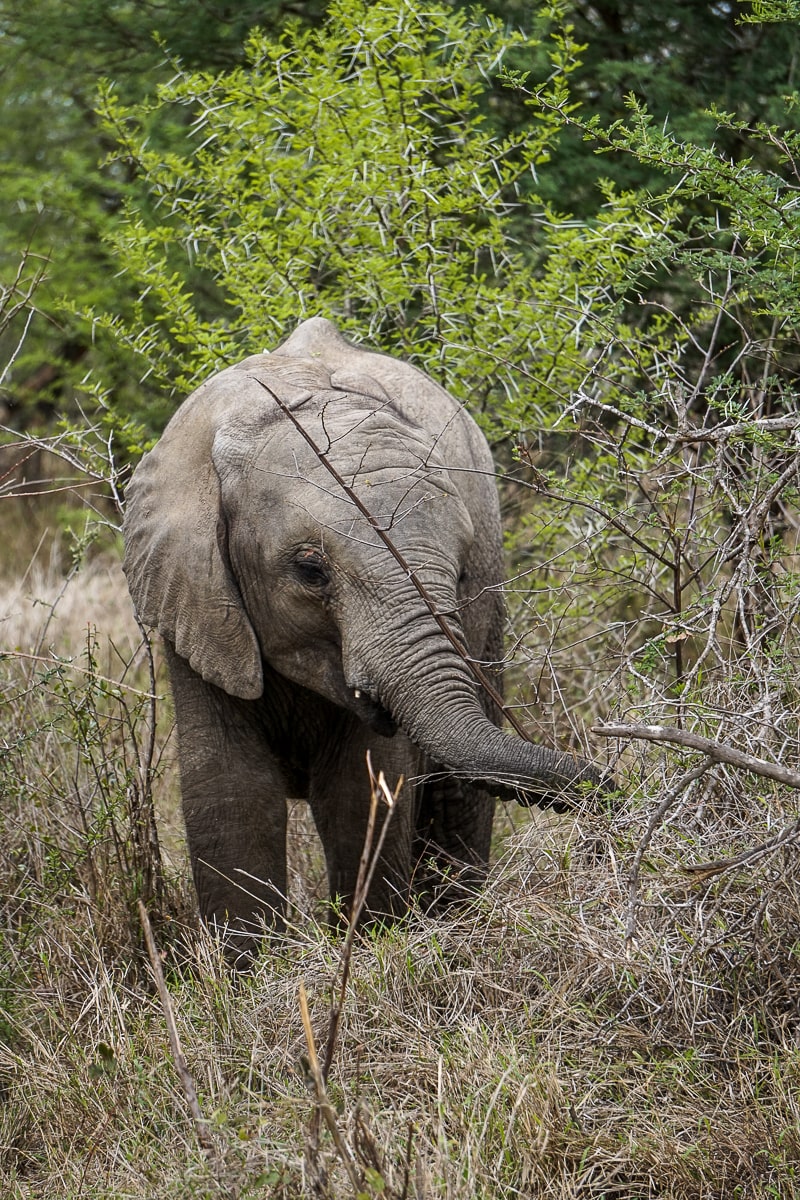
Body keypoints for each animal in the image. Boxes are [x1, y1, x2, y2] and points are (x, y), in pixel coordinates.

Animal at [123, 317, 606, 962]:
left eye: (461, 573)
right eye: (310, 571)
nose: (614, 788)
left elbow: (361, 792)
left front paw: (373, 946)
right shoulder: (197, 602)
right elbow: (230, 796)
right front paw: (251, 972)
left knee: (456, 797)